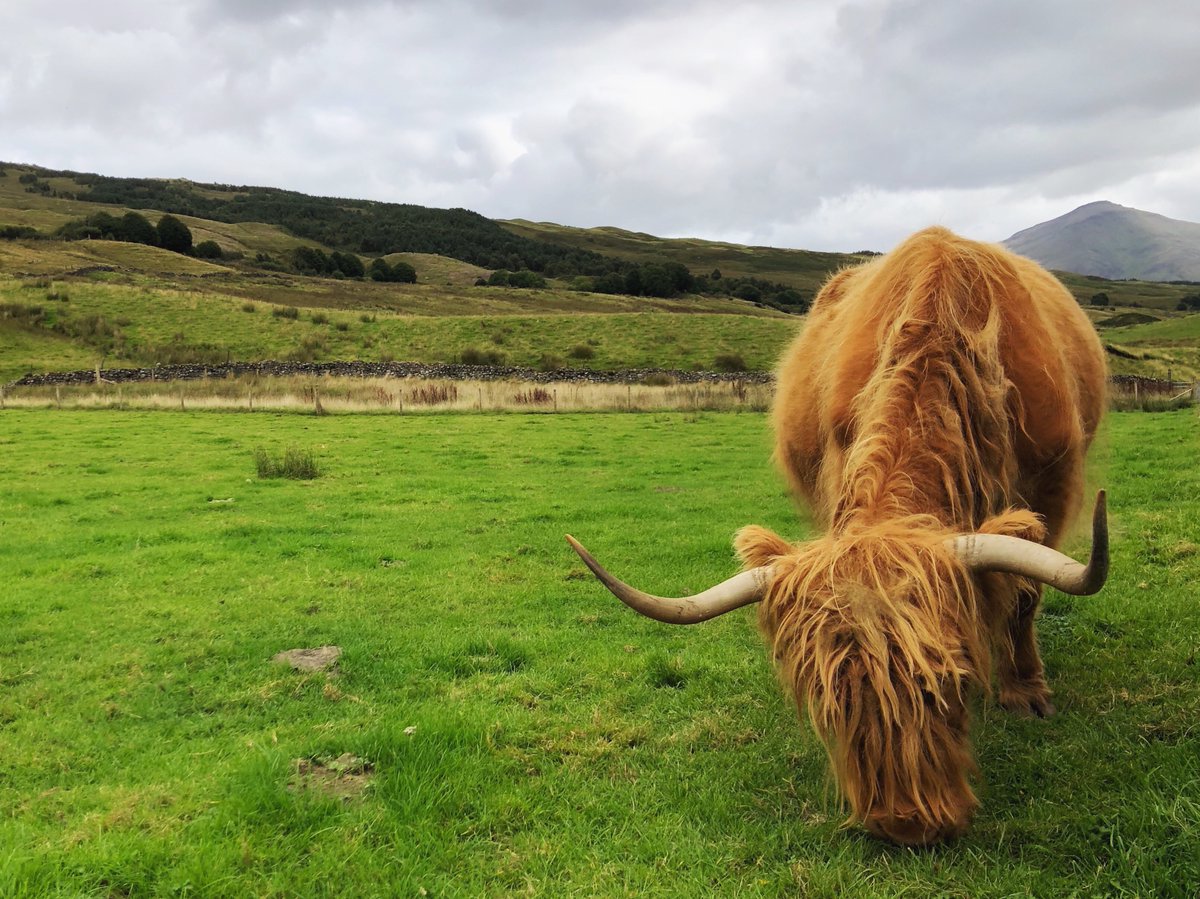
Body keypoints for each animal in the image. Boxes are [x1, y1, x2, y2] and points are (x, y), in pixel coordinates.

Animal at [566, 227, 1109, 846]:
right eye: (827, 700)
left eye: (953, 682)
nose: (905, 824)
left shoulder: (1053, 487)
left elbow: (1023, 595)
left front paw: (1026, 693)